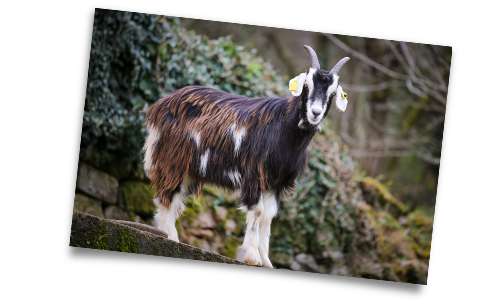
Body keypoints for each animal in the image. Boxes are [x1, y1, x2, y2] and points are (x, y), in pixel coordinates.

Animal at [143, 44, 350, 268]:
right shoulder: (254, 173)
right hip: (173, 159)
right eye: (306, 84)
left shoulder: (276, 182)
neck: (282, 130)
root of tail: (159, 106)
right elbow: (257, 211)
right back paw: (171, 239)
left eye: (332, 93)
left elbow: (268, 216)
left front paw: (266, 260)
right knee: (165, 196)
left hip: (190, 170)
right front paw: (252, 256)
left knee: (173, 198)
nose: (315, 113)